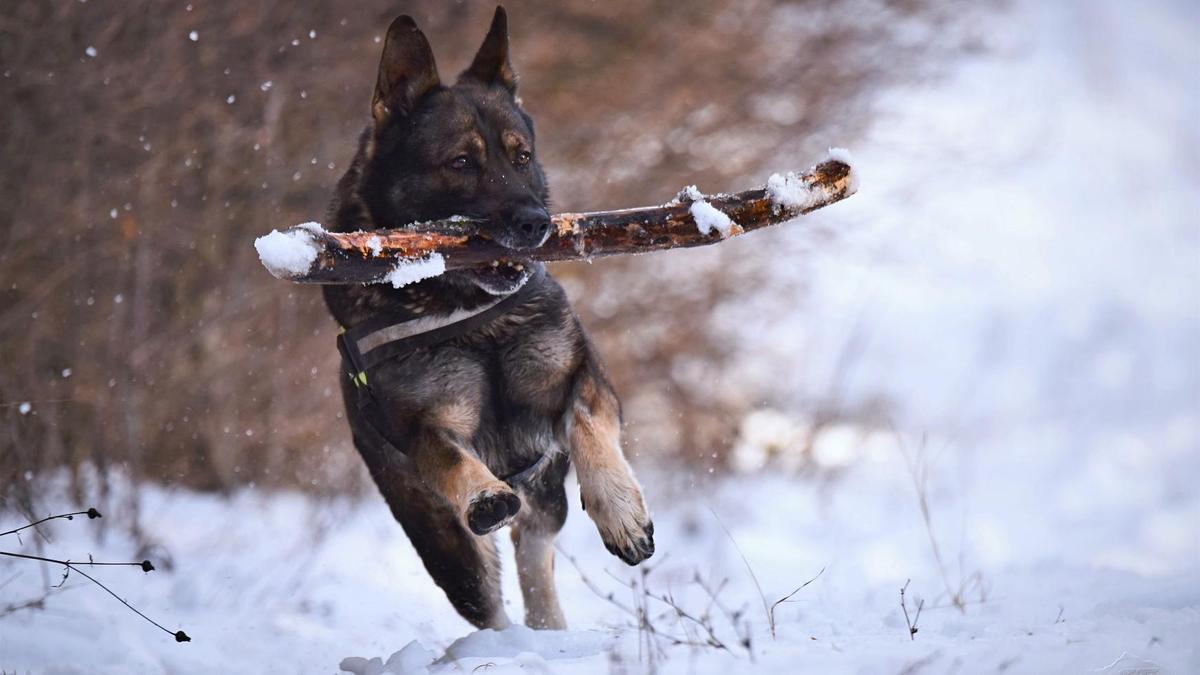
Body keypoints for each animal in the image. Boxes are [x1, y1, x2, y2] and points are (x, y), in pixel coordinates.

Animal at [324, 5, 652, 629]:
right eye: (461, 163)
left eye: (521, 156)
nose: (535, 224)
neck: (472, 316)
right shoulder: (422, 428)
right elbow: (451, 458)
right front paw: (482, 492)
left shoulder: (586, 378)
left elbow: (587, 425)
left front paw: (620, 510)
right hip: (446, 548)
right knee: (490, 595)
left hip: (544, 499)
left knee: (535, 552)